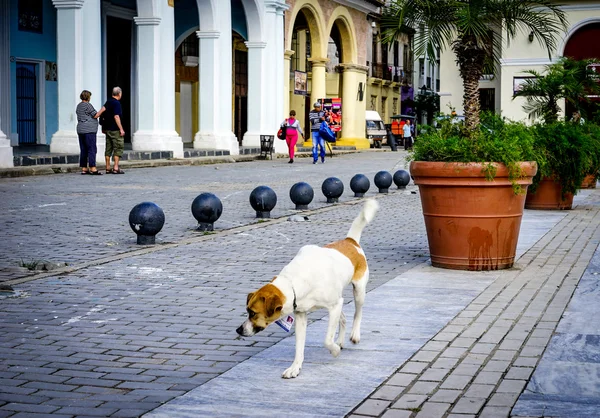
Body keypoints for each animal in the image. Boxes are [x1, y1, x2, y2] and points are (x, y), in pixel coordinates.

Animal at [237, 199, 378, 378]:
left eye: (253, 313)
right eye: (248, 311)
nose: (238, 330)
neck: (293, 282)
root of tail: (350, 241)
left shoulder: (334, 306)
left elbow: (327, 340)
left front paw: (334, 350)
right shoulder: (301, 314)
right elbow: (299, 346)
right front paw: (295, 368)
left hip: (358, 291)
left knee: (357, 313)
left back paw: (354, 335)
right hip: (339, 300)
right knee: (343, 317)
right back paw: (340, 340)